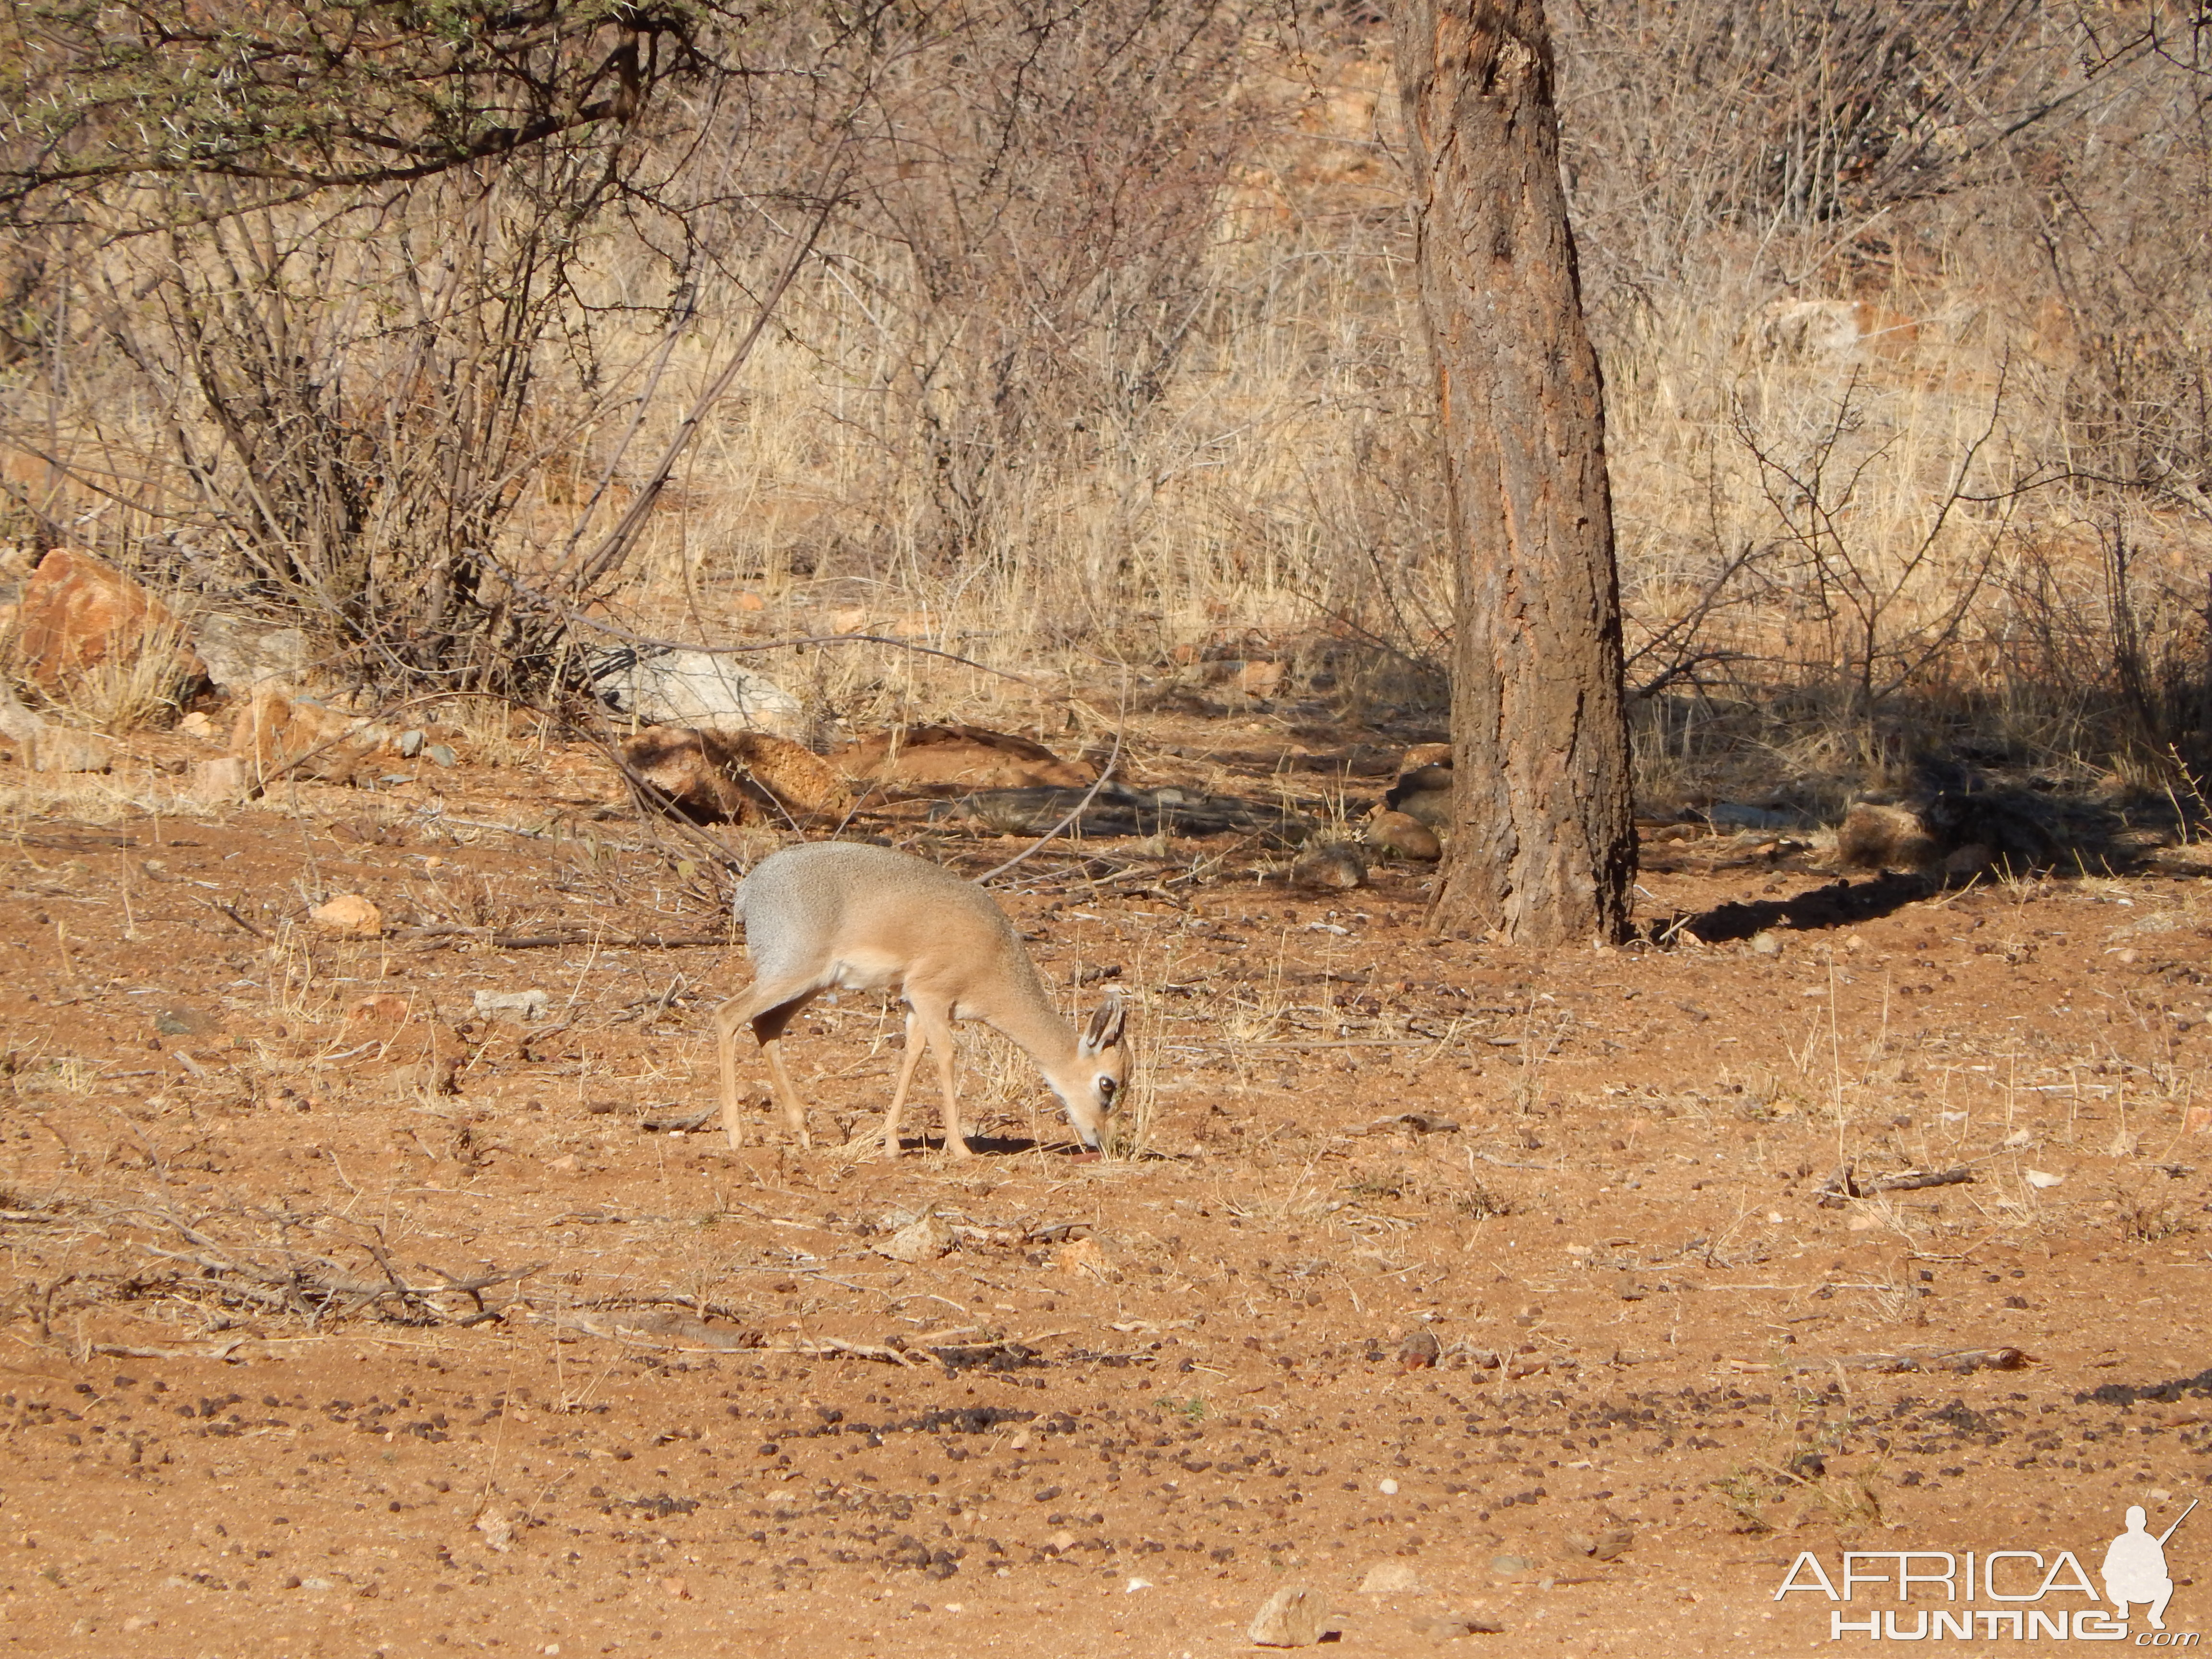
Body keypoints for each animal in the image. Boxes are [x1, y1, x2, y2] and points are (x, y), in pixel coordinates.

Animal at [712, 845, 1123, 1159]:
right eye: (1108, 1084)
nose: (1101, 1139)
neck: (994, 953)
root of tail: (750, 888)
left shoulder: (915, 1005)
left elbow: (912, 1055)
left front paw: (892, 1143)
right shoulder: (932, 997)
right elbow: (946, 1055)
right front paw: (960, 1148)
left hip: (809, 984)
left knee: (766, 1026)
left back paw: (802, 1132)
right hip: (792, 974)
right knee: (727, 1014)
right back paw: (736, 1135)